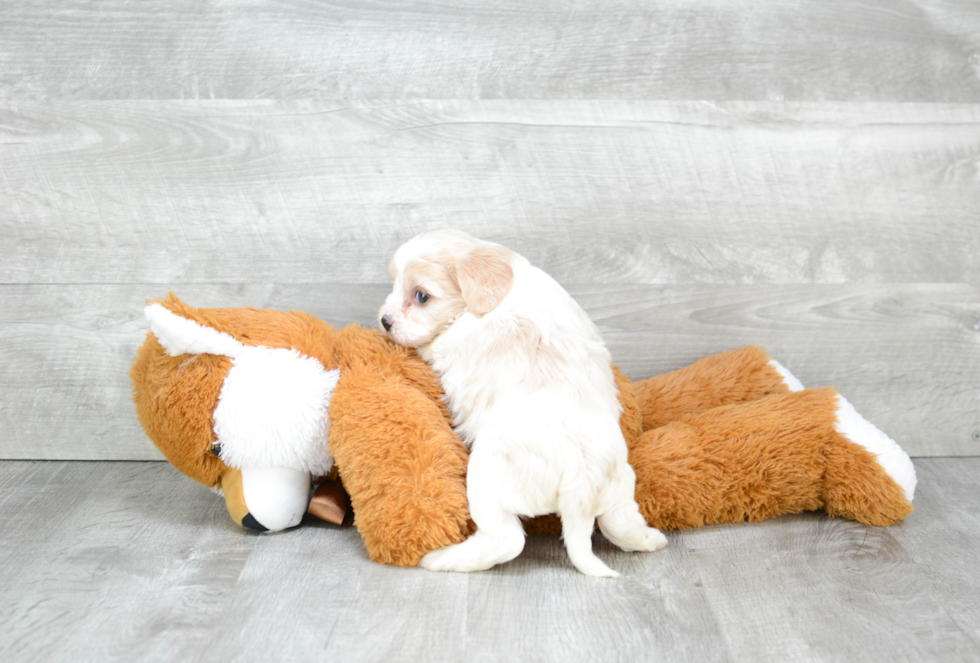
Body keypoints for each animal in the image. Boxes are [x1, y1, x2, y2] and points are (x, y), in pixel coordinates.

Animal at [376, 231, 668, 580]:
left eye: (421, 296)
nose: (385, 321)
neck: (503, 291)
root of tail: (582, 486)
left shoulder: (444, 342)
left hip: (486, 479)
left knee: (506, 540)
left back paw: (441, 558)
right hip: (621, 484)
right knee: (619, 521)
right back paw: (651, 539)